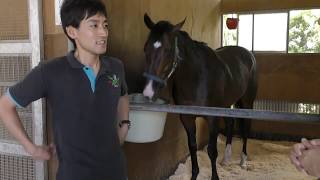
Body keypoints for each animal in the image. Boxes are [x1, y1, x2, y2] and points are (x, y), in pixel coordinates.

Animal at [142, 13, 258, 179]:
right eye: (146, 48)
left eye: (168, 50)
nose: (148, 91)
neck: (196, 77)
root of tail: (248, 54)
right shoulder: (187, 118)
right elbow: (192, 146)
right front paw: (194, 175)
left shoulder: (212, 118)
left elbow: (212, 151)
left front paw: (215, 177)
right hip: (226, 104)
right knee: (230, 123)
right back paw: (226, 159)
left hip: (247, 102)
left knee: (245, 128)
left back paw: (243, 161)